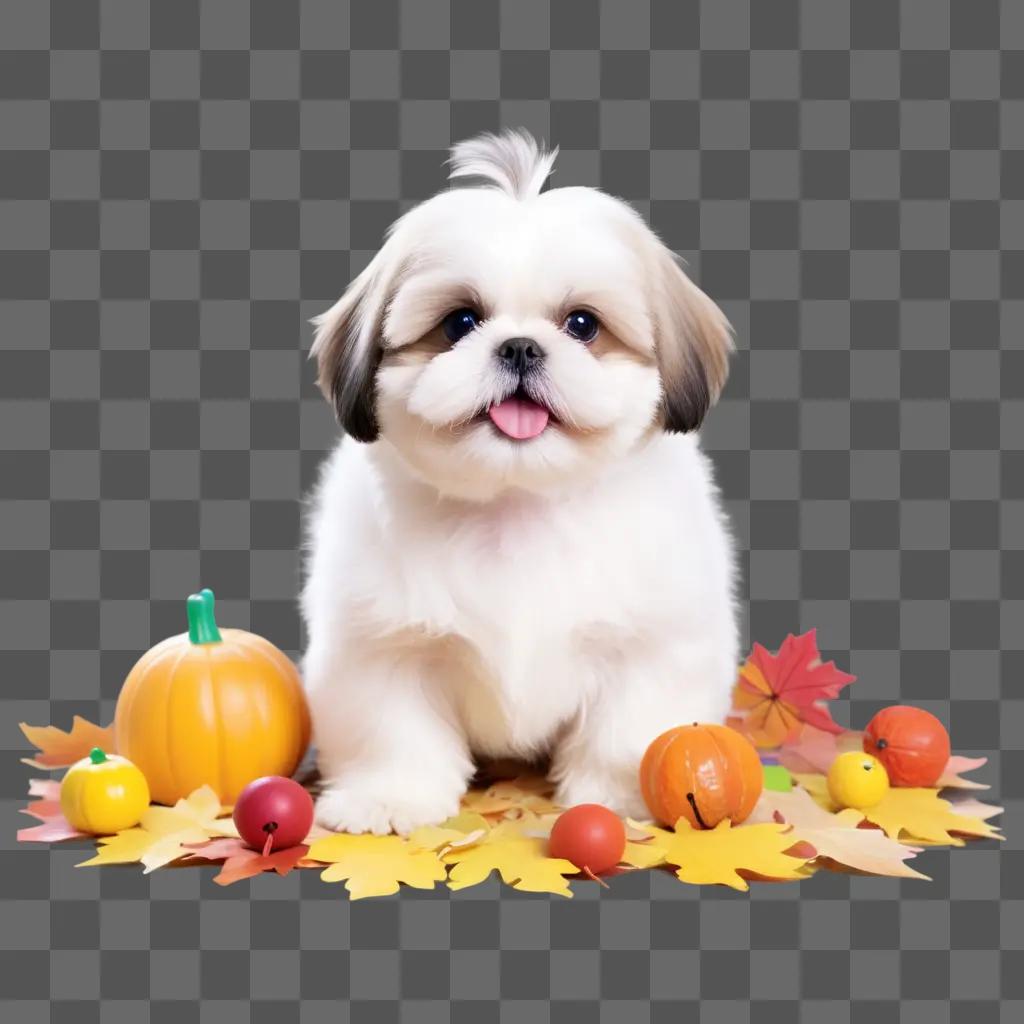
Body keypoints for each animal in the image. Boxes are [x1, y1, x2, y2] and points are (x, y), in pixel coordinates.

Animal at [299, 130, 741, 831]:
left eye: (583, 325)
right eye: (459, 323)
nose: (519, 347)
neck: (517, 507)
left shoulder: (652, 644)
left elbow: (628, 727)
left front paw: (624, 797)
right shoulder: (382, 647)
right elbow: (394, 730)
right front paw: (389, 797)